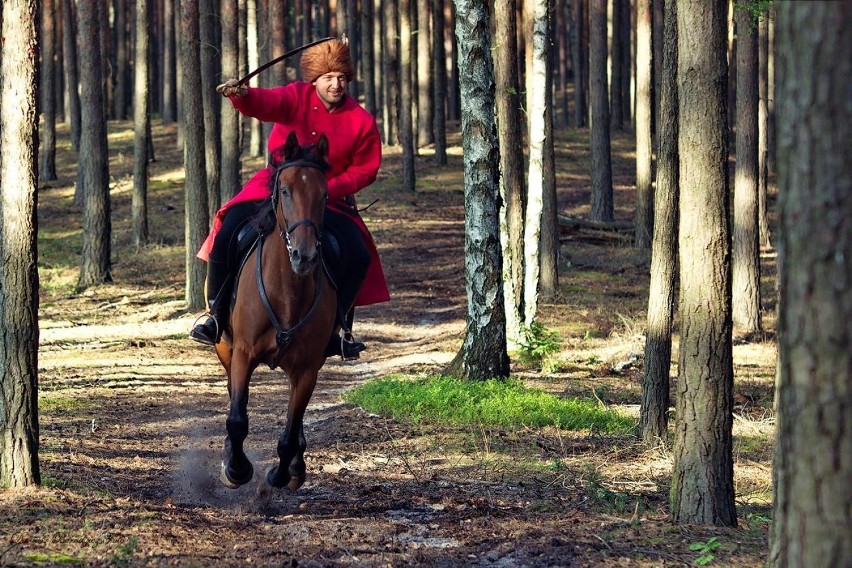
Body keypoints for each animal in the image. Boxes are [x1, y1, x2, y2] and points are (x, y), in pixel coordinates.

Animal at [211, 131, 338, 490]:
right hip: (223, 346)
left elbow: (290, 433)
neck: (287, 293)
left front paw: (284, 473)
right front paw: (236, 468)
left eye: (324, 195)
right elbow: (237, 419)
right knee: (232, 396)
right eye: (285, 191)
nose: (304, 255)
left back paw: (296, 463)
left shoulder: (308, 368)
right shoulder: (242, 353)